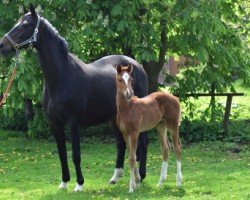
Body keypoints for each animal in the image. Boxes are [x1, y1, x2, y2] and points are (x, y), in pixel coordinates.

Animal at [116, 63, 183, 192]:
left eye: (131, 80)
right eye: (120, 79)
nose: (129, 93)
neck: (127, 108)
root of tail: (176, 98)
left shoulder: (134, 133)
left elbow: (132, 158)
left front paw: (131, 187)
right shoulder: (125, 134)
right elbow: (130, 155)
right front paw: (136, 183)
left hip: (172, 125)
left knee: (177, 147)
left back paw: (178, 181)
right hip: (161, 126)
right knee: (166, 148)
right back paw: (161, 182)